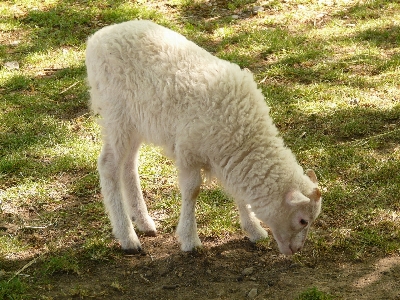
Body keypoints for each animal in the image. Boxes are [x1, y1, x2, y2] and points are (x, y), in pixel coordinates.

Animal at [85, 20, 322, 255]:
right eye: (303, 220)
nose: (296, 250)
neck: (245, 134)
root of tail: (97, 38)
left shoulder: (227, 155)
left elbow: (237, 192)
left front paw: (253, 230)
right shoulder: (189, 152)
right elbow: (192, 191)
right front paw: (190, 239)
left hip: (137, 122)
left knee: (128, 165)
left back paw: (143, 221)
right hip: (117, 115)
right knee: (109, 166)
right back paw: (127, 237)